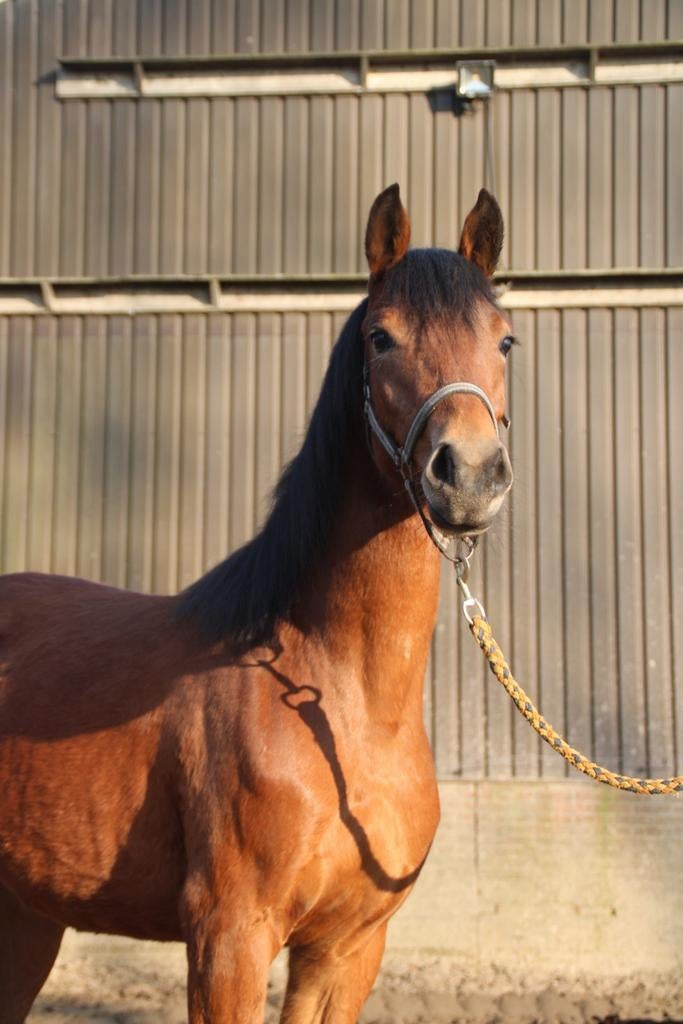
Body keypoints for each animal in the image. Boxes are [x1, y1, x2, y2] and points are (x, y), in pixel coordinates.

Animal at [0, 184, 513, 1023]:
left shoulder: (345, 951)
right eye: (380, 338)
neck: (339, 703)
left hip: (27, 918)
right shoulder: (229, 939)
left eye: (504, 341)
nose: (467, 475)